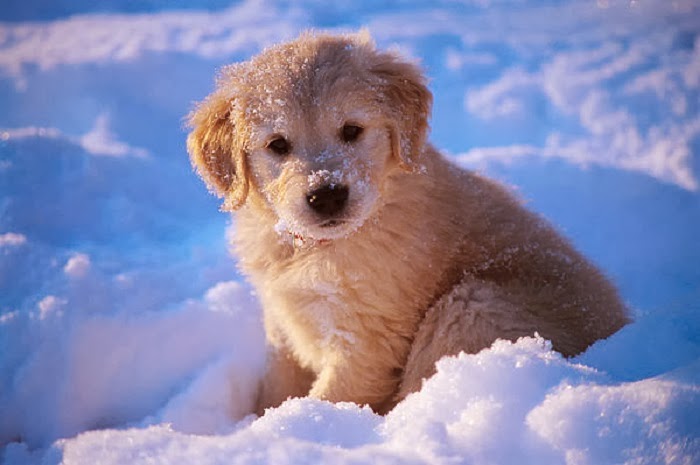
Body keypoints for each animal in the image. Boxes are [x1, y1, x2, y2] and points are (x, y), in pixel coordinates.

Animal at [186, 29, 628, 414]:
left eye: (352, 130)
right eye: (277, 145)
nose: (327, 195)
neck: (315, 248)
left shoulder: (369, 342)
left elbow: (330, 397)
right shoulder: (282, 323)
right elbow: (276, 386)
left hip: (473, 304)